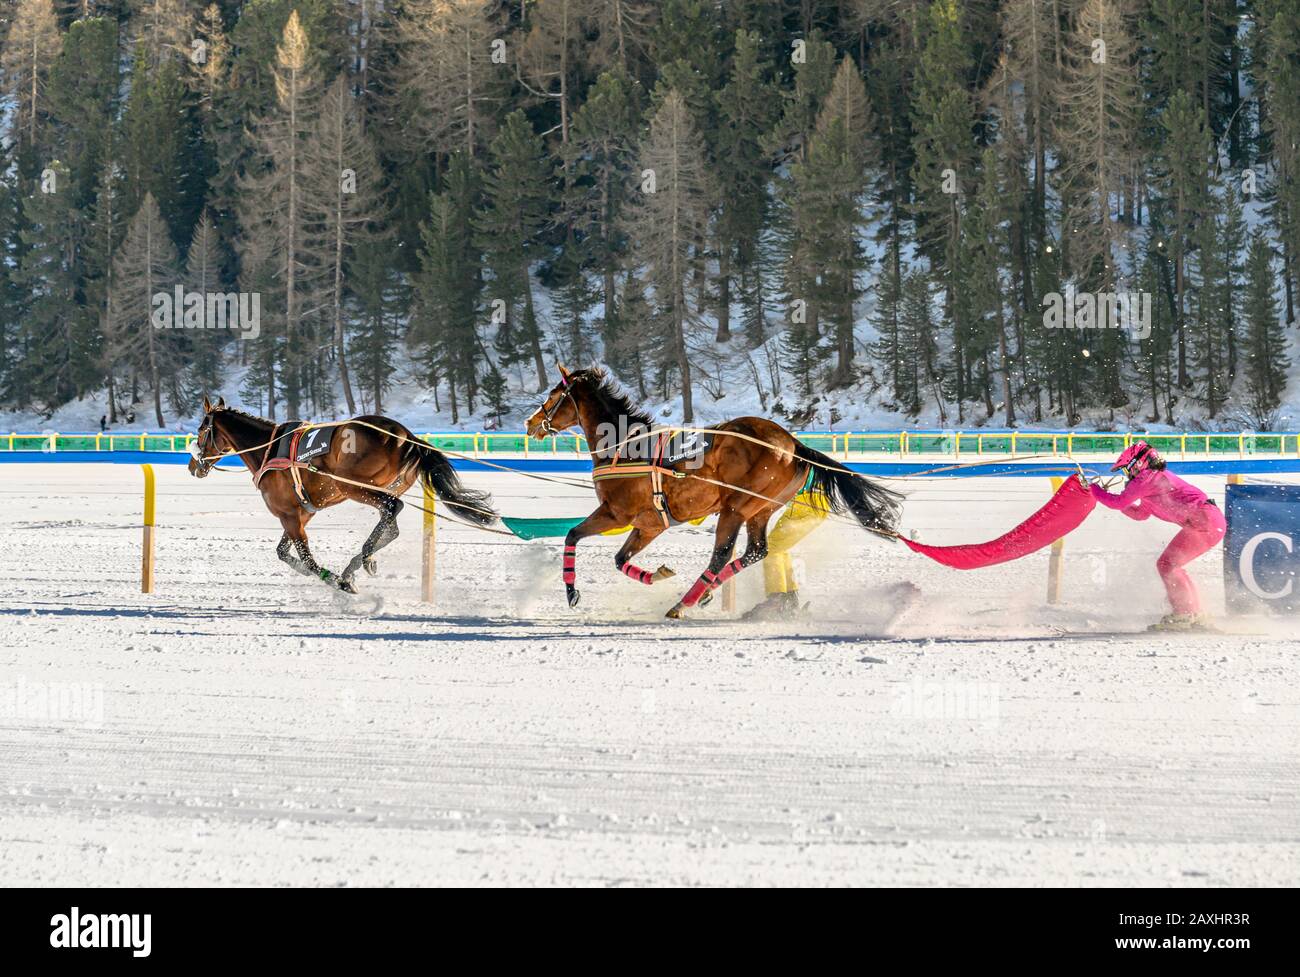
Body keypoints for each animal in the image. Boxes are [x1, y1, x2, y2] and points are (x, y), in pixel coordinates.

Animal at [189, 397, 496, 595]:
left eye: (201, 431)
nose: (194, 466)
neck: (270, 449)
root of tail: (406, 436)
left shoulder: (289, 516)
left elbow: (305, 558)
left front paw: (336, 581)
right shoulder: (301, 513)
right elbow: (283, 552)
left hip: (355, 487)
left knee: (392, 508)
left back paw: (361, 559)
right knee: (391, 522)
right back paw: (360, 560)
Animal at [522, 366, 899, 618]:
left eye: (553, 396)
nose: (530, 423)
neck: (625, 448)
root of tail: (792, 444)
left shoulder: (616, 513)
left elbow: (572, 535)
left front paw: (572, 592)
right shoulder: (649, 524)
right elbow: (620, 559)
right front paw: (658, 574)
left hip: (735, 508)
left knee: (722, 555)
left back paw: (684, 603)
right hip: (760, 510)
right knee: (756, 551)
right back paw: (703, 594)